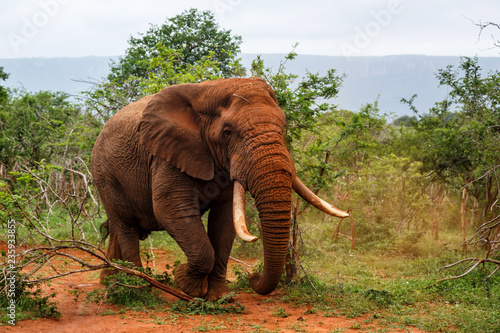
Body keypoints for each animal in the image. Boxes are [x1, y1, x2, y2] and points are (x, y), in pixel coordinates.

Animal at [91, 76, 348, 300]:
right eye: (227, 133)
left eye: (283, 127)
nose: (253, 277)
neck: (208, 91)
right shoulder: (166, 155)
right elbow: (171, 210)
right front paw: (187, 284)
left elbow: (224, 220)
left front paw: (220, 297)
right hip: (104, 175)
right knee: (125, 226)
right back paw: (138, 287)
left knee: (120, 229)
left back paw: (111, 281)